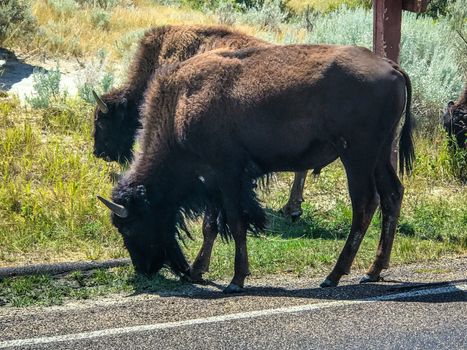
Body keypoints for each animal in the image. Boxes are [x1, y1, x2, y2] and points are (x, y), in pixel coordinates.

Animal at [98, 45, 414, 294]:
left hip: (357, 156)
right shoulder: (212, 182)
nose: (144, 269)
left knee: (365, 204)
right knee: (392, 195)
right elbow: (211, 225)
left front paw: (236, 280)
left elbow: (236, 223)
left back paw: (333, 276)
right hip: (380, 154)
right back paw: (373, 271)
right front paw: (198, 271)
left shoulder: (227, 175)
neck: (182, 103)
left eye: (129, 225)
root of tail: (391, 66)